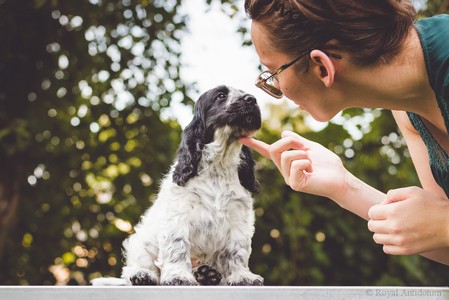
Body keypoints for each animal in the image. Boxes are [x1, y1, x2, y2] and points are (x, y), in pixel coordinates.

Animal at [121, 85, 264, 286]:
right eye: (221, 96)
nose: (252, 99)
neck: (219, 165)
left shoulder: (238, 217)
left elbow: (238, 251)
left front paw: (242, 276)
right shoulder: (179, 214)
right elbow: (178, 246)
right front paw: (179, 276)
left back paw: (206, 274)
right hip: (141, 242)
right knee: (135, 267)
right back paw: (143, 275)